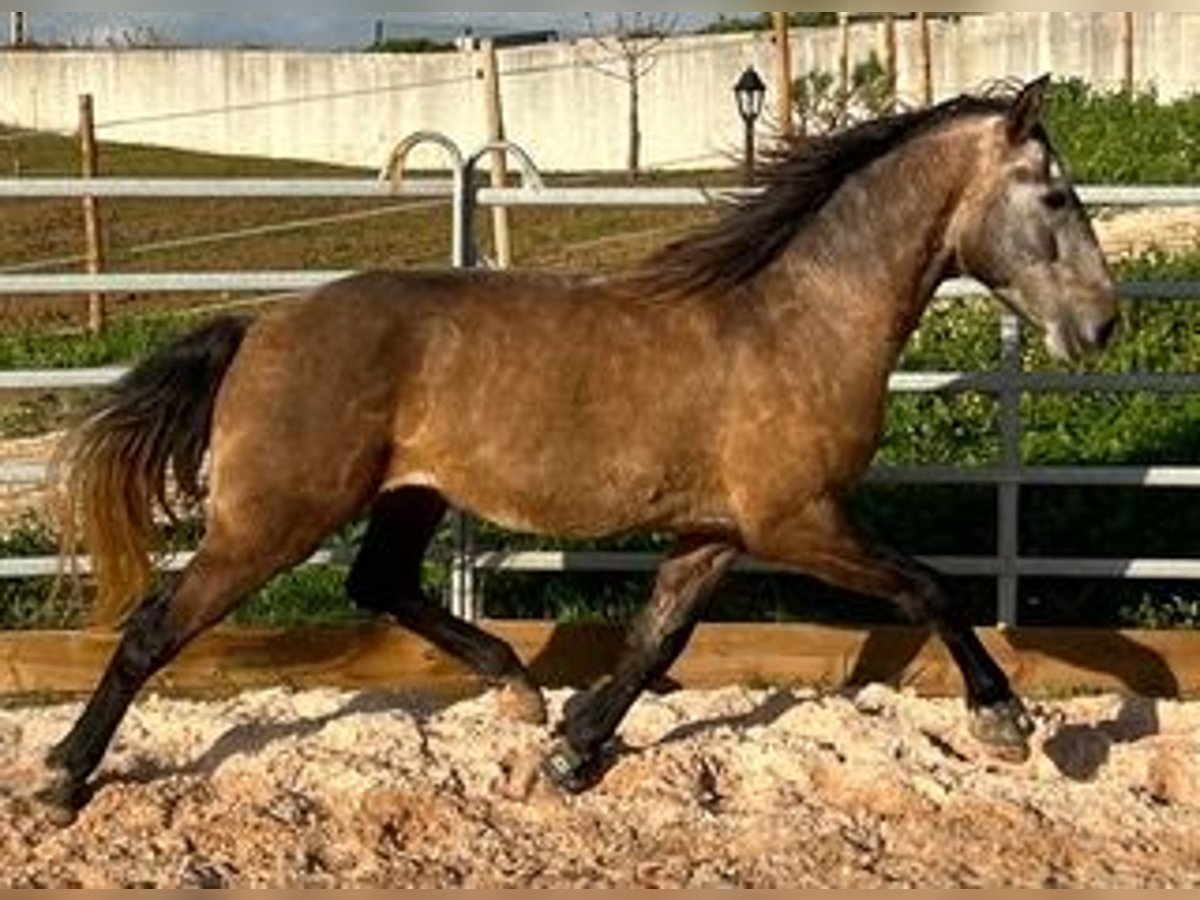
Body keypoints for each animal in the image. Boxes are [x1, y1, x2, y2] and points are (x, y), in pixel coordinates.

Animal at [42, 77, 1118, 825]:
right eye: (1057, 198)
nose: (1102, 325)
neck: (800, 320)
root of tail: (259, 328)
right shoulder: (798, 520)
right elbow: (929, 586)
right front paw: (1006, 723)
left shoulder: (717, 532)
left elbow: (656, 640)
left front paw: (573, 750)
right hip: (270, 519)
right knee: (155, 629)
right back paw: (63, 776)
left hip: (409, 495)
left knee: (378, 582)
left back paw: (517, 687)